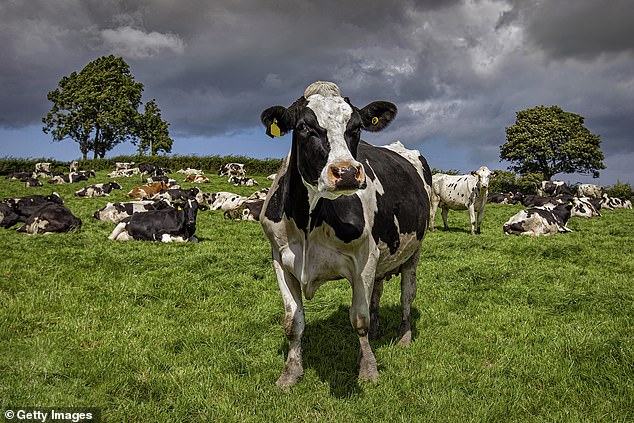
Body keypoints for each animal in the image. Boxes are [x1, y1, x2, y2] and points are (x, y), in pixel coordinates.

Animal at [256, 80, 430, 388]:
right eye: (304, 127)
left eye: (356, 127)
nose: (347, 172)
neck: (309, 221)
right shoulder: (280, 260)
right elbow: (293, 321)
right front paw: (290, 373)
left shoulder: (364, 258)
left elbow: (358, 319)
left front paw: (368, 369)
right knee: (377, 292)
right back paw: (377, 331)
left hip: (414, 252)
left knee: (407, 295)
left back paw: (405, 336)